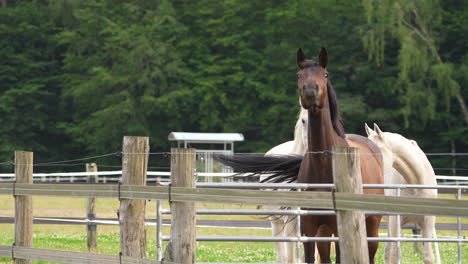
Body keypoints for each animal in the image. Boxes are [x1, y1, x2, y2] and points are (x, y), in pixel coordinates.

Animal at [296, 48, 384, 264]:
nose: (310, 91)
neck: (324, 164)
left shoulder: (340, 228)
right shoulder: (309, 230)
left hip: (371, 221)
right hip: (325, 231)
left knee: (371, 250)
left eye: (325, 74)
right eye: (299, 75)